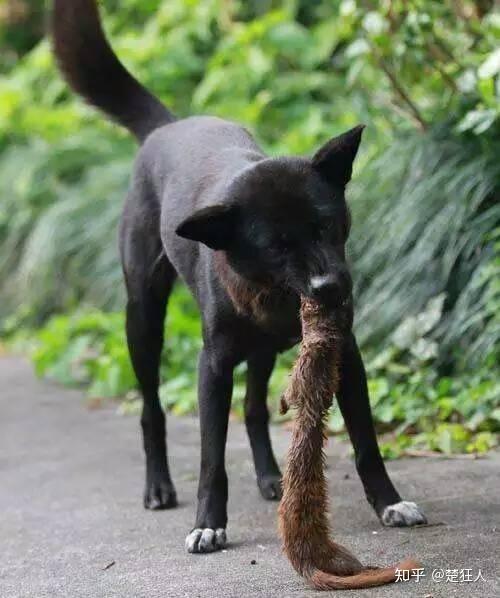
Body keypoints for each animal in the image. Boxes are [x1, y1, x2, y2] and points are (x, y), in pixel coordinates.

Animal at [51, 0, 426, 556]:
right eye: (276, 246)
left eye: (327, 225)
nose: (332, 290)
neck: (276, 295)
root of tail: (168, 126)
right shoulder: (213, 365)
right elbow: (211, 457)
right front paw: (208, 523)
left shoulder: (346, 353)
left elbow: (366, 442)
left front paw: (390, 503)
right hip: (142, 317)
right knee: (152, 408)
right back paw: (159, 487)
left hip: (261, 349)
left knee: (252, 408)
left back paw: (271, 478)